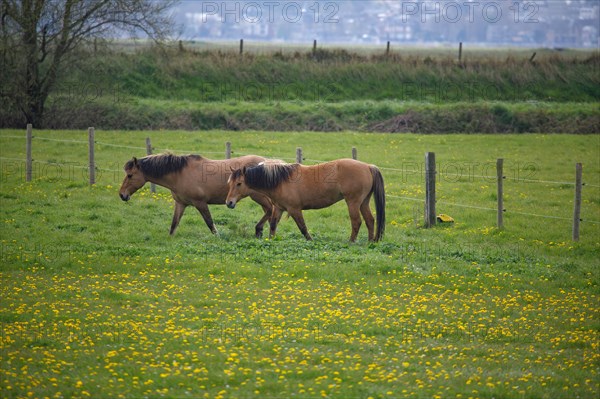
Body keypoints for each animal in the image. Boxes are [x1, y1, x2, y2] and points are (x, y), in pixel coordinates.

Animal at [119, 154, 274, 238]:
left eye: (130, 175)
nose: (122, 195)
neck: (179, 174)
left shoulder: (200, 203)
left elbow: (210, 223)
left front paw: (219, 238)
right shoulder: (180, 204)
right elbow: (174, 224)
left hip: (258, 197)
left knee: (270, 210)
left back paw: (259, 230)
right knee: (270, 212)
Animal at [225, 160, 384, 244]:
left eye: (239, 184)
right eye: (230, 183)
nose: (229, 203)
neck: (280, 180)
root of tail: (368, 166)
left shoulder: (295, 209)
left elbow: (303, 228)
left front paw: (310, 241)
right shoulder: (278, 208)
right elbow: (273, 226)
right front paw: (271, 240)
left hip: (353, 202)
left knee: (357, 222)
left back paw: (351, 242)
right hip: (363, 202)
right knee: (370, 220)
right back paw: (370, 242)